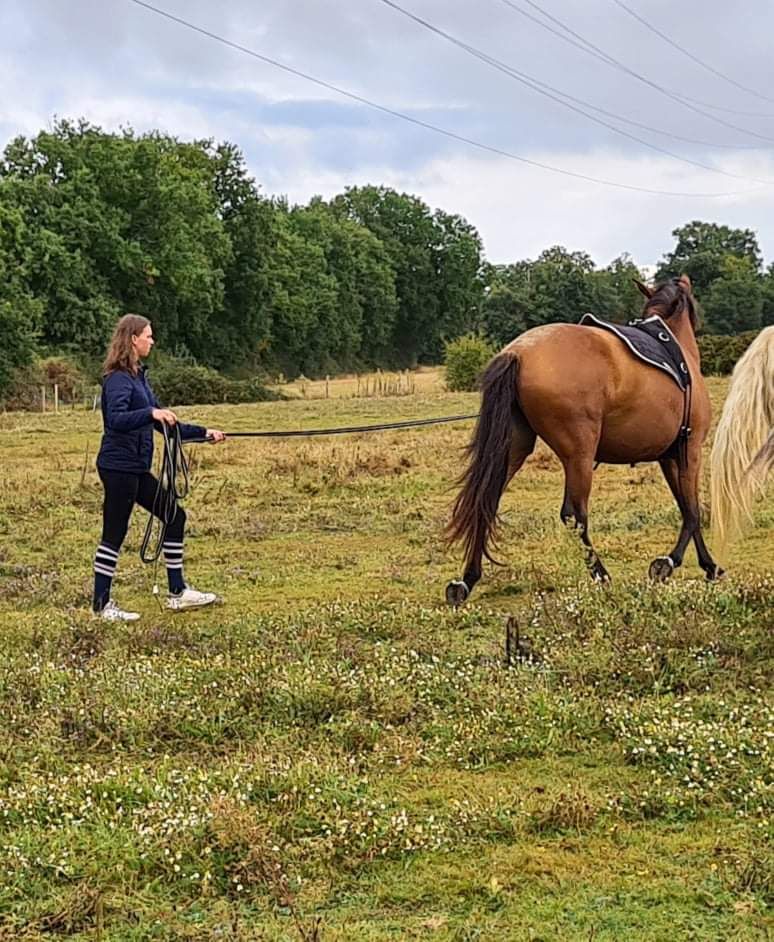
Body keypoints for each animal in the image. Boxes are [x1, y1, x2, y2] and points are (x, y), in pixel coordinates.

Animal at [446, 276, 724, 608]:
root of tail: (519, 353)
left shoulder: (668, 457)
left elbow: (685, 506)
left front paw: (708, 565)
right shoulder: (689, 451)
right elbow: (693, 510)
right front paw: (669, 563)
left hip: (511, 449)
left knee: (486, 502)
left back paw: (467, 580)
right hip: (579, 454)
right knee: (574, 514)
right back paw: (601, 574)